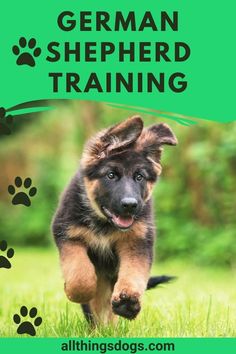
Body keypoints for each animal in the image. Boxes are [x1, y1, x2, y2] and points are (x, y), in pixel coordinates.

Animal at [52, 116, 177, 324]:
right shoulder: (68, 235)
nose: (130, 205)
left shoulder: (137, 242)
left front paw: (128, 301)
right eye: (111, 175)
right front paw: (77, 292)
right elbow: (80, 275)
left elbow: (134, 272)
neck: (104, 224)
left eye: (139, 177)